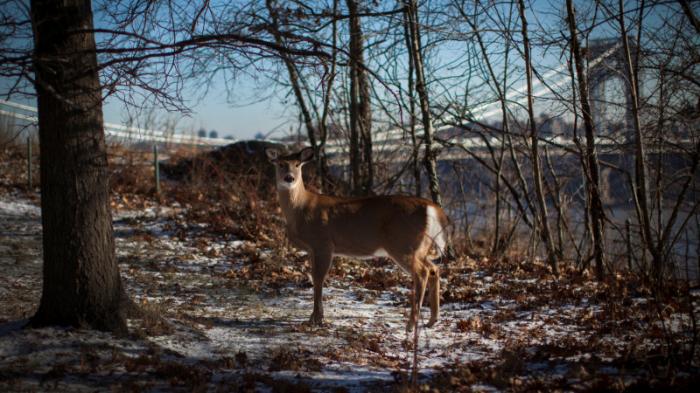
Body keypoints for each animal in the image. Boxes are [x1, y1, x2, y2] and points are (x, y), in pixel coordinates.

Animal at [266, 145, 452, 330]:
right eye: (281, 164)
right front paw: (315, 317)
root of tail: (433, 209)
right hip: (420, 247)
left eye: (297, 164)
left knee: (422, 273)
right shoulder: (313, 249)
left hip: (403, 244)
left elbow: (318, 279)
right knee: (434, 268)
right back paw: (432, 320)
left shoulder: (323, 243)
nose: (289, 178)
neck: (300, 209)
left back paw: (411, 324)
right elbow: (314, 277)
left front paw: (316, 319)